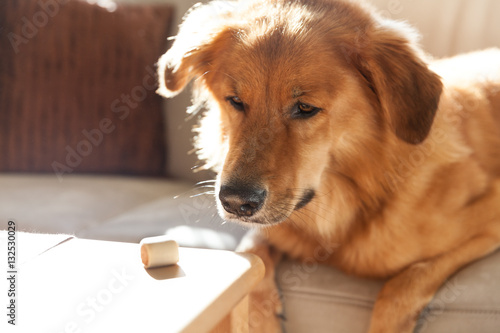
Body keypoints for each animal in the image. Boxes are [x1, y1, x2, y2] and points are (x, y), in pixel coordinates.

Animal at [156, 0, 500, 330]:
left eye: (305, 108)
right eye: (236, 101)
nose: (235, 203)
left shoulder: (488, 220)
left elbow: (402, 284)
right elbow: (250, 257)